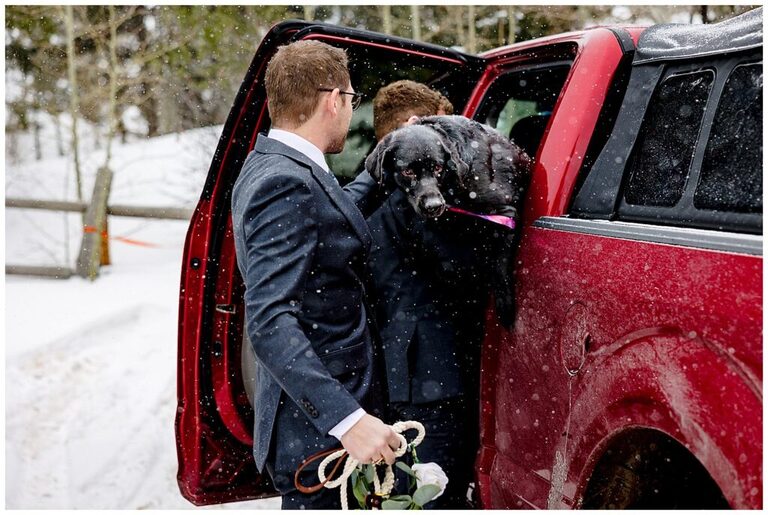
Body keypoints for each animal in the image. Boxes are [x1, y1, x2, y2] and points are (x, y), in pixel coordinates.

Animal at [364, 115, 532, 328]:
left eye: (438, 168)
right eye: (408, 172)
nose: (434, 205)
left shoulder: (505, 214)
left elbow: (499, 265)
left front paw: (505, 306)